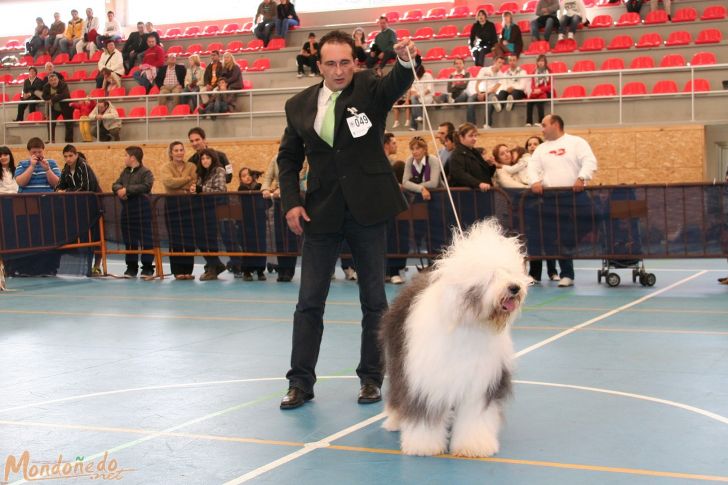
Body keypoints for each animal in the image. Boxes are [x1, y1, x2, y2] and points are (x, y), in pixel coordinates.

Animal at [378, 219, 528, 458]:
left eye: (508, 271)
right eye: (492, 276)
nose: (514, 287)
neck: (469, 325)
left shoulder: (479, 384)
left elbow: (475, 418)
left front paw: (473, 446)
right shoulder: (426, 382)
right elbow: (424, 414)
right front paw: (424, 445)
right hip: (398, 359)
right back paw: (394, 421)